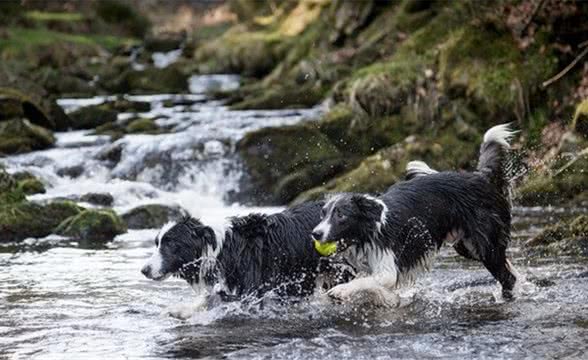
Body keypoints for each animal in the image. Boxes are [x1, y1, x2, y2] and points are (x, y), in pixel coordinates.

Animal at [312, 124, 520, 306]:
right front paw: (390, 299)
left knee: (507, 277)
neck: (367, 232)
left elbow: (364, 282)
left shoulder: (387, 270)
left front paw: (341, 290)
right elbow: (376, 287)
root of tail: (481, 177)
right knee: (508, 267)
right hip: (466, 245)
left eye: (341, 215)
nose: (315, 234)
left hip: (484, 244)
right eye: (323, 214)